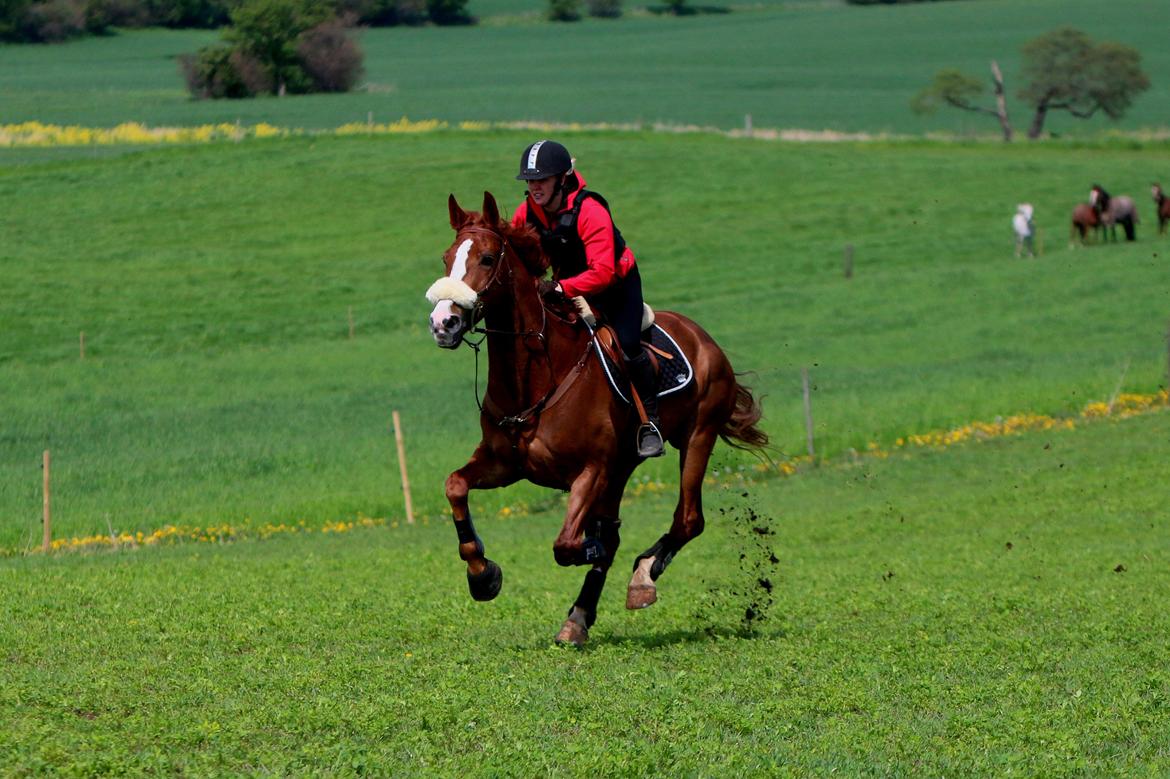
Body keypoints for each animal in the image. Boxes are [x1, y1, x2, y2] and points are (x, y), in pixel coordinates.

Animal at [428, 189, 767, 640]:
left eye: (485, 258)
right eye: (447, 257)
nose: (443, 322)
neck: (536, 375)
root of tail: (703, 337)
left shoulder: (591, 470)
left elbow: (568, 545)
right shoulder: (505, 464)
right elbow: (455, 487)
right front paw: (483, 575)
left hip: (697, 436)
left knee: (688, 519)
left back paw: (641, 578)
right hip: (623, 466)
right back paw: (578, 617)